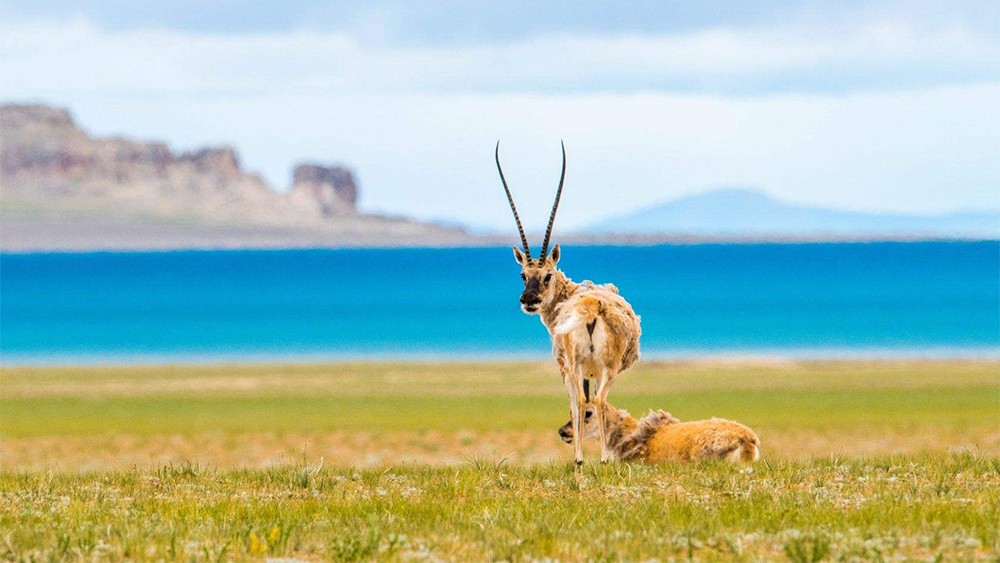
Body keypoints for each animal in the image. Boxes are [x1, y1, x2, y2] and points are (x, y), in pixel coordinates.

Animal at [498, 142, 644, 468]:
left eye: (547, 275)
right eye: (523, 274)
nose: (529, 300)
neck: (573, 293)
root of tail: (591, 304)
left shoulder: (565, 368)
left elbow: (576, 404)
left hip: (581, 365)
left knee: (584, 399)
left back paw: (584, 459)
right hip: (601, 367)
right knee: (596, 399)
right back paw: (599, 459)